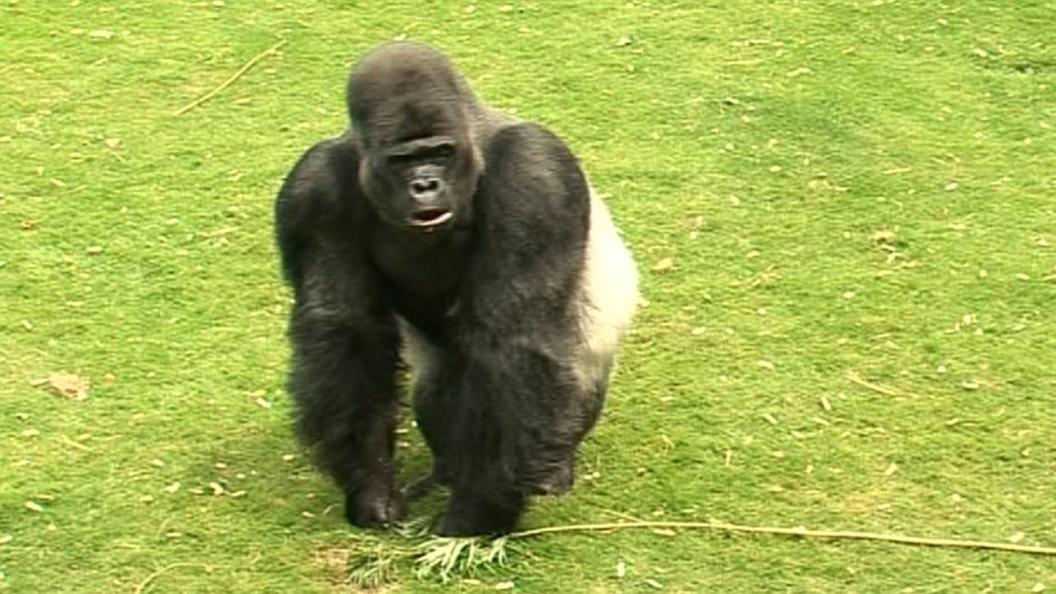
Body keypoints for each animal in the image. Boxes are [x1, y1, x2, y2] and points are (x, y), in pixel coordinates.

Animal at [274, 40, 633, 532]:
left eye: (440, 152)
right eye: (403, 160)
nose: (426, 185)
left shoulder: (534, 172)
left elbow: (513, 340)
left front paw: (480, 508)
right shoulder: (313, 189)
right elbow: (347, 326)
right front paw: (371, 483)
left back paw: (548, 470)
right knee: (440, 376)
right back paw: (447, 470)